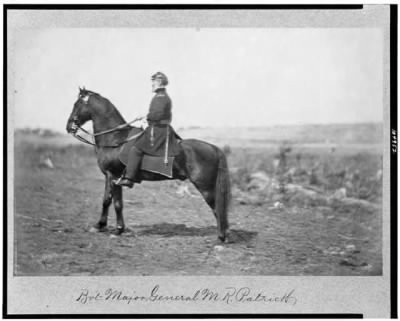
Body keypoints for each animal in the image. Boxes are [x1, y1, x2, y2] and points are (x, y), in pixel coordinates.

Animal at [66, 86, 231, 241]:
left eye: (77, 104)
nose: (69, 127)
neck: (115, 139)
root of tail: (214, 148)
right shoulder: (110, 177)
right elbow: (107, 201)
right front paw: (100, 226)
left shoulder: (114, 175)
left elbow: (116, 203)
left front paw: (118, 229)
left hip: (205, 187)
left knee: (217, 207)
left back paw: (222, 236)